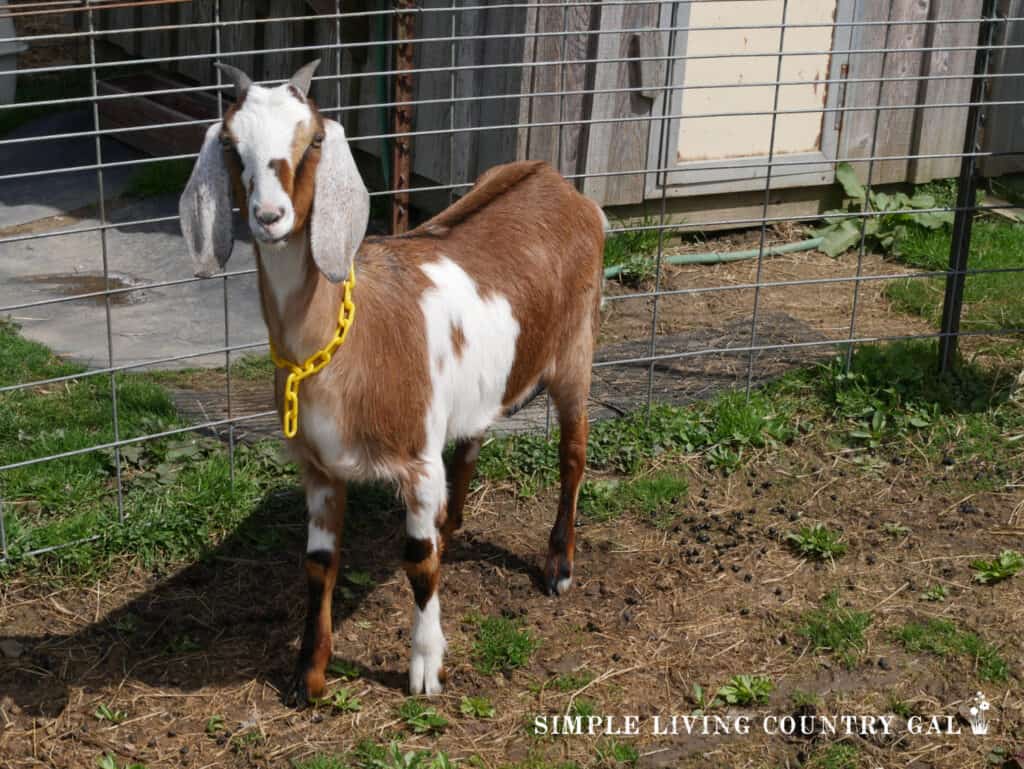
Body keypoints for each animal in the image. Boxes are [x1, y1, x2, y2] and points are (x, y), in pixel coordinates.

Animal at [179, 63, 602, 708]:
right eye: (230, 145)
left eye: (314, 141)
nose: (269, 217)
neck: (341, 345)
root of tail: (557, 181)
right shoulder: (319, 470)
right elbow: (318, 564)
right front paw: (309, 673)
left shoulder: (416, 462)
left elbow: (419, 563)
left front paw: (426, 667)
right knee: (472, 443)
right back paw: (453, 523)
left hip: (576, 350)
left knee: (573, 455)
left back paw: (559, 565)